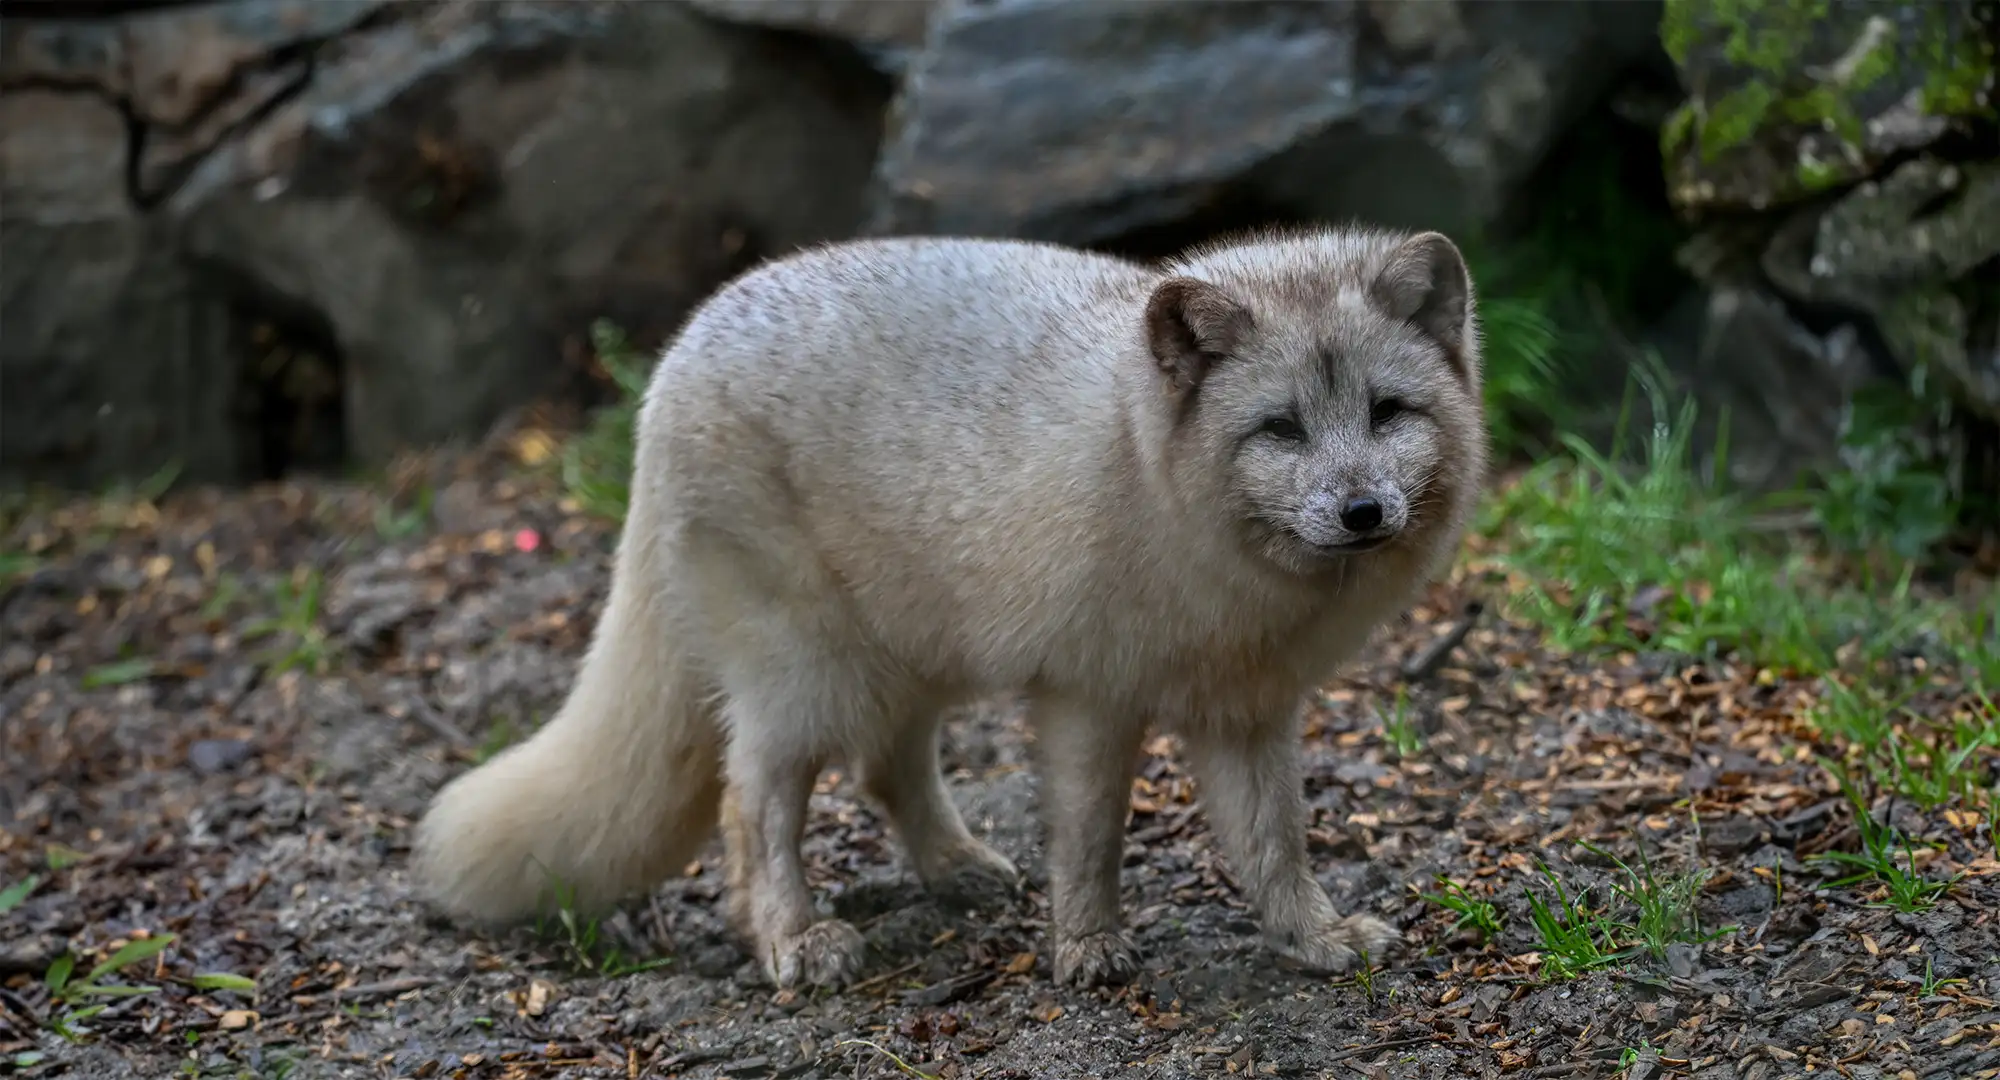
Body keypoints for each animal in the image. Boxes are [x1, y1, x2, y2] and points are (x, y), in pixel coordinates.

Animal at [411, 225, 1488, 990]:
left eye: (1387, 413)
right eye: (1281, 429)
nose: (1362, 511)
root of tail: (675, 354)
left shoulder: (1245, 709)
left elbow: (1274, 844)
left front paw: (1313, 936)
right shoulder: (1087, 695)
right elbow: (1090, 838)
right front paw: (1086, 950)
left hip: (915, 656)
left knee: (886, 769)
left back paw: (957, 868)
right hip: (807, 677)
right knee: (749, 799)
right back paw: (794, 939)